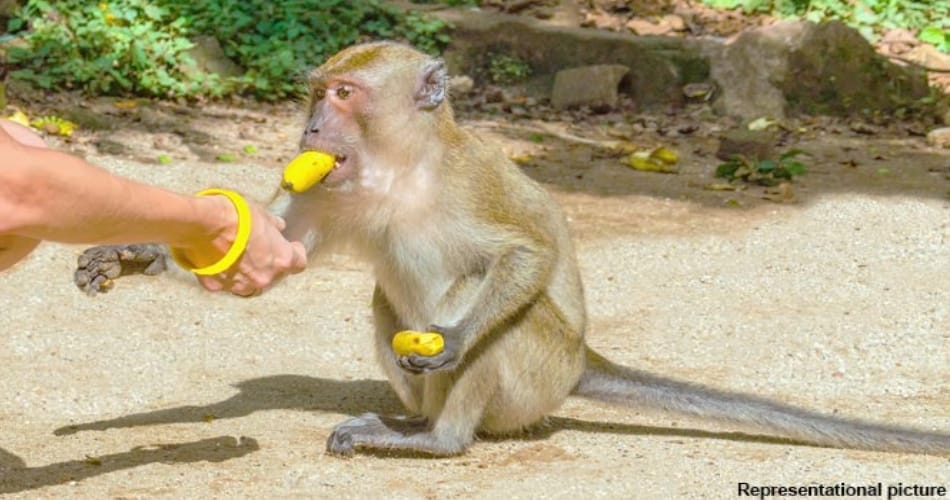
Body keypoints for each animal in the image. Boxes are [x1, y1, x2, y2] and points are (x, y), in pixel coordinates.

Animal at [74, 41, 950, 457]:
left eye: (345, 95)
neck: (398, 169)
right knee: (386, 301)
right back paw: (409, 418)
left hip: (543, 371)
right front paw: (135, 254)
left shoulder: (469, 188)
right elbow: (278, 248)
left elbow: (521, 260)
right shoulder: (329, 188)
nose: (311, 129)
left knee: (503, 322)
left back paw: (436, 438)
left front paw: (456, 339)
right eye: (317, 93)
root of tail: (585, 363)